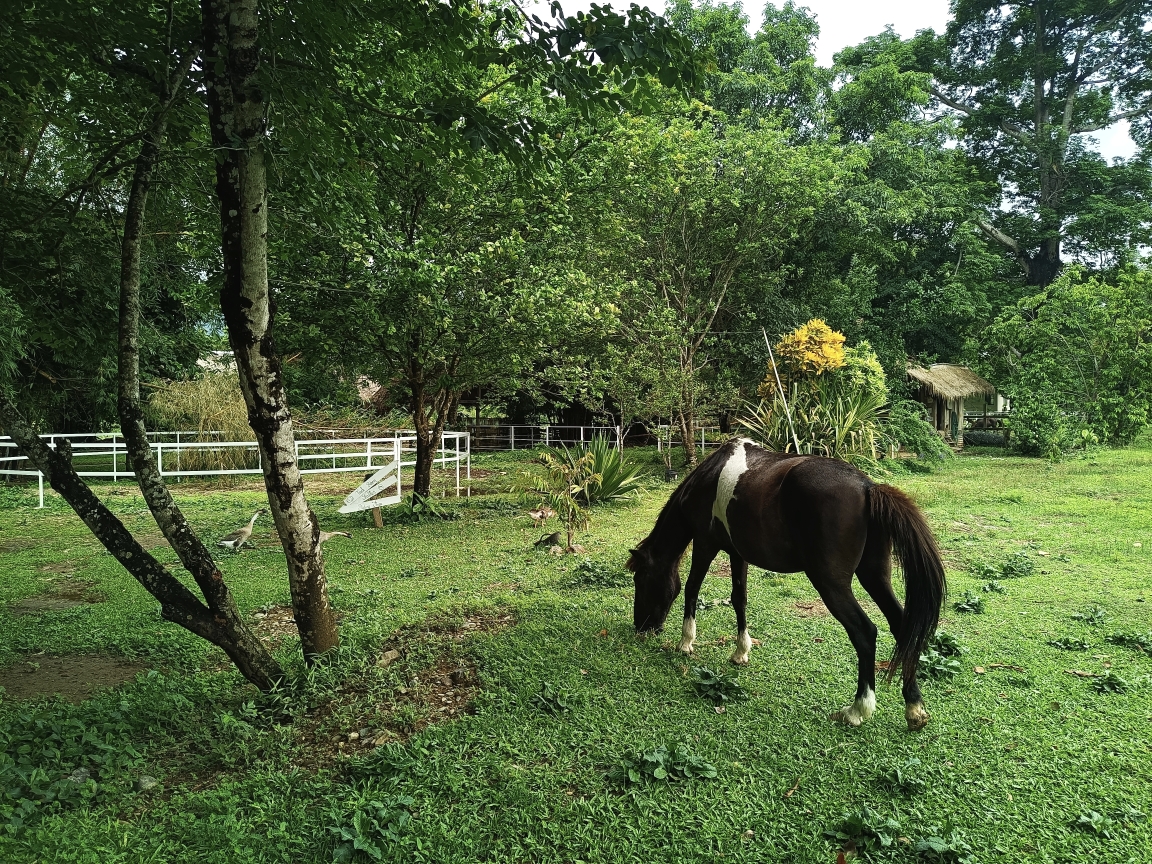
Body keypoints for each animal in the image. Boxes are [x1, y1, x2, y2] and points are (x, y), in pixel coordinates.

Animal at [631, 440, 944, 732]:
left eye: (640, 578)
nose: (642, 626)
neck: (708, 477)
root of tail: (867, 487)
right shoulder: (737, 553)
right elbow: (738, 598)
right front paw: (741, 651)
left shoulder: (705, 544)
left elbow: (692, 588)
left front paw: (686, 642)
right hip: (874, 576)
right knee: (901, 626)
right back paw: (914, 708)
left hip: (831, 584)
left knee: (865, 632)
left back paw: (857, 710)